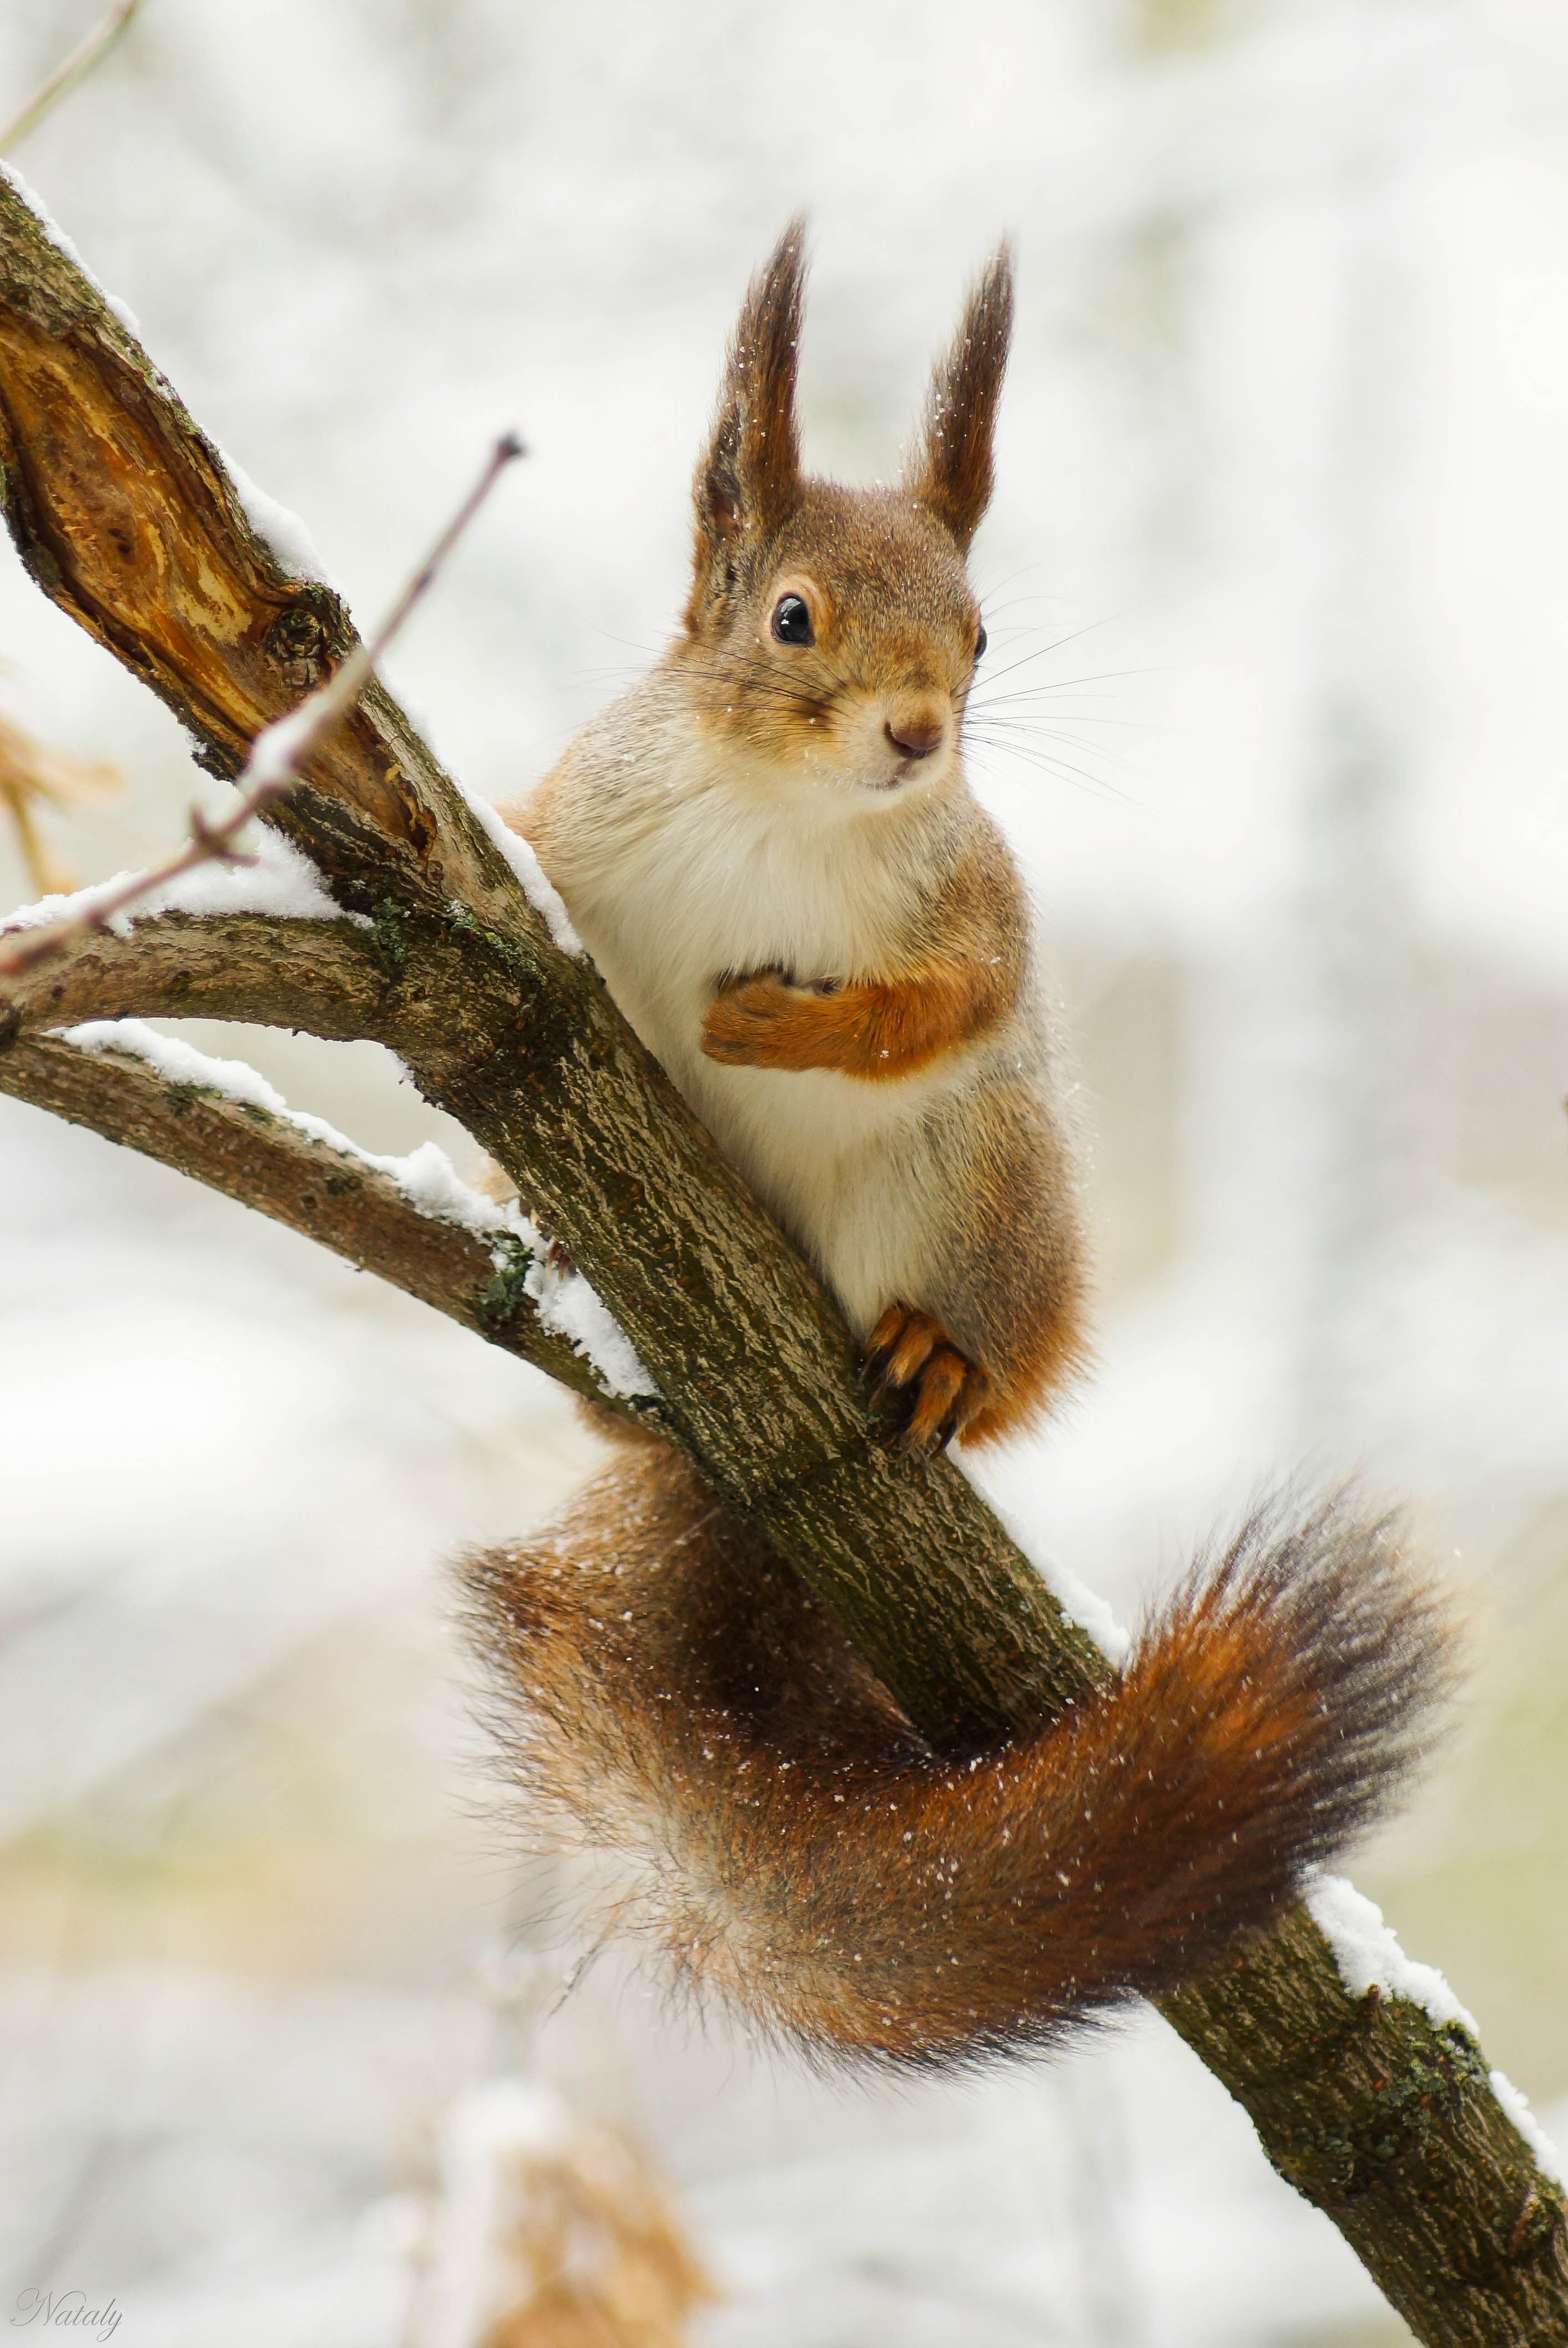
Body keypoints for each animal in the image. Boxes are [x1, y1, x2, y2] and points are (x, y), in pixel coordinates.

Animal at [465, 224, 1455, 2076]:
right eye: (791, 617)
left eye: (981, 637)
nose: (919, 735)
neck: (781, 810)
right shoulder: (567, 826)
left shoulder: (975, 904)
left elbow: (949, 1001)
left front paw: (789, 1030)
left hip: (985, 1191)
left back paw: (938, 1359)